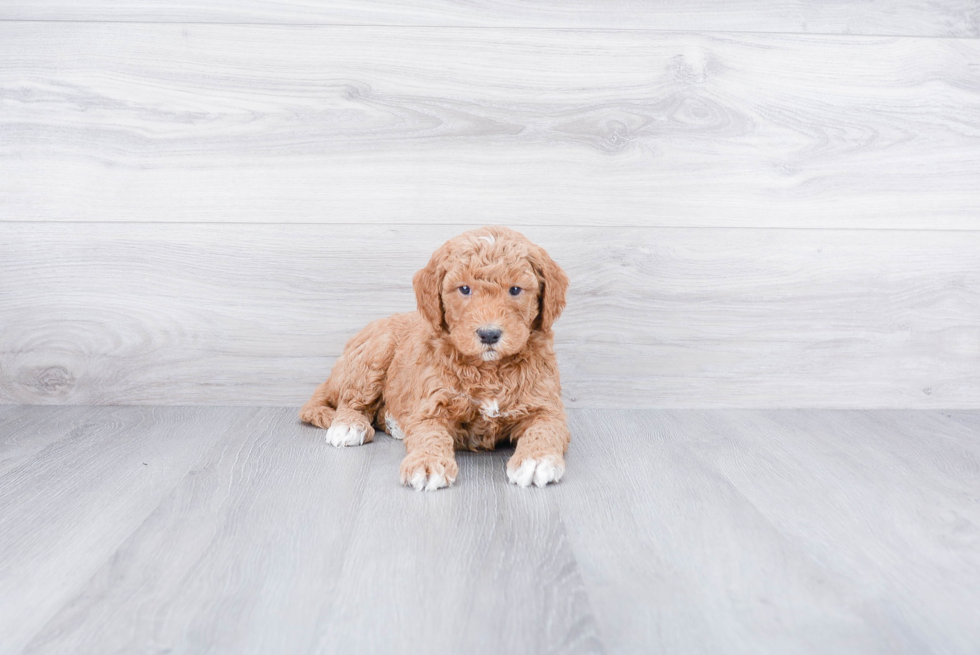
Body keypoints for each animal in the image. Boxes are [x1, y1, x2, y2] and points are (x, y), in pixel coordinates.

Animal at [296, 228, 568, 490]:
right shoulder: (432, 405)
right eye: (464, 289)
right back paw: (349, 426)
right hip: (374, 352)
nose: (489, 334)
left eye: (515, 290)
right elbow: (429, 434)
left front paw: (536, 460)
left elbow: (545, 429)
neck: (488, 369)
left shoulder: (546, 407)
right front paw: (426, 463)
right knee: (350, 402)